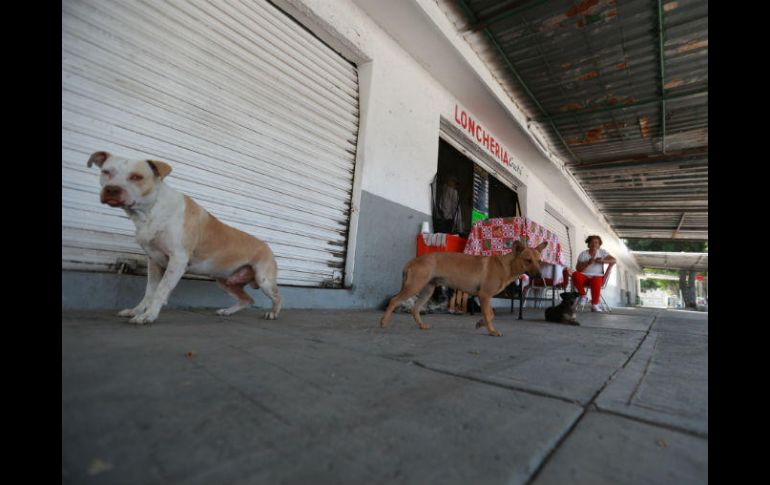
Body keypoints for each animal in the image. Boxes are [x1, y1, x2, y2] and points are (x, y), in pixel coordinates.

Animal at [89, 150, 282, 326]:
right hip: (225, 281)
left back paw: (273, 314)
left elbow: (160, 290)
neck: (151, 212)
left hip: (263, 279)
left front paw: (148, 315)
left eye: (137, 177)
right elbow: (149, 291)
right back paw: (227, 311)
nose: (111, 189)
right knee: (248, 300)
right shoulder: (154, 261)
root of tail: (266, 246)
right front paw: (136, 311)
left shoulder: (178, 260)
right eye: (106, 171)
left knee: (278, 297)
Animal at [378, 239, 544, 336]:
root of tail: (412, 261)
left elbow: (491, 314)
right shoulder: (484, 295)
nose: (540, 275)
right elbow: (489, 315)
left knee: (415, 309)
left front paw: (481, 323)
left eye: (539, 261)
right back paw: (384, 322)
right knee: (394, 301)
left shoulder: (486, 297)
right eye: (528, 260)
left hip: (427, 290)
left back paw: (421, 325)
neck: (506, 266)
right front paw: (491, 330)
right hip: (414, 287)